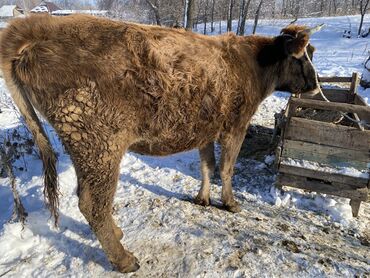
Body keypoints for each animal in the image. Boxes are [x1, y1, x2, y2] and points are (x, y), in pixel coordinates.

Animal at [0, 14, 318, 272]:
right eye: (302, 57)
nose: (316, 86)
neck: (253, 64)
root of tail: (38, 26)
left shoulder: (205, 130)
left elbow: (207, 166)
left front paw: (203, 198)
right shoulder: (235, 127)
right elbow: (227, 169)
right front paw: (230, 203)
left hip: (85, 146)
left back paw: (117, 235)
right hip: (100, 143)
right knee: (93, 202)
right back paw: (124, 259)